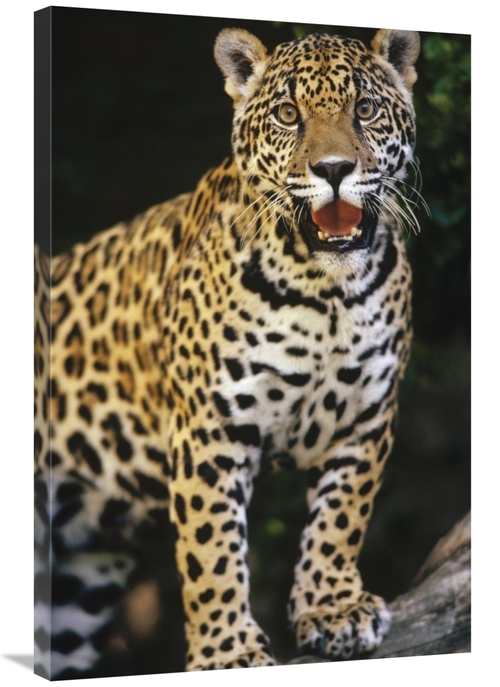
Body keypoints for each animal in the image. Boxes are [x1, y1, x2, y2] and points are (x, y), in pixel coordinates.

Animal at [34, 26, 420, 678]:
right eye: (289, 115)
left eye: (365, 109)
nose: (335, 169)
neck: (326, 296)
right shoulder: (209, 430)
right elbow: (210, 550)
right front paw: (226, 653)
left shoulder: (367, 418)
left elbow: (343, 517)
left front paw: (334, 608)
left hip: (75, 587)